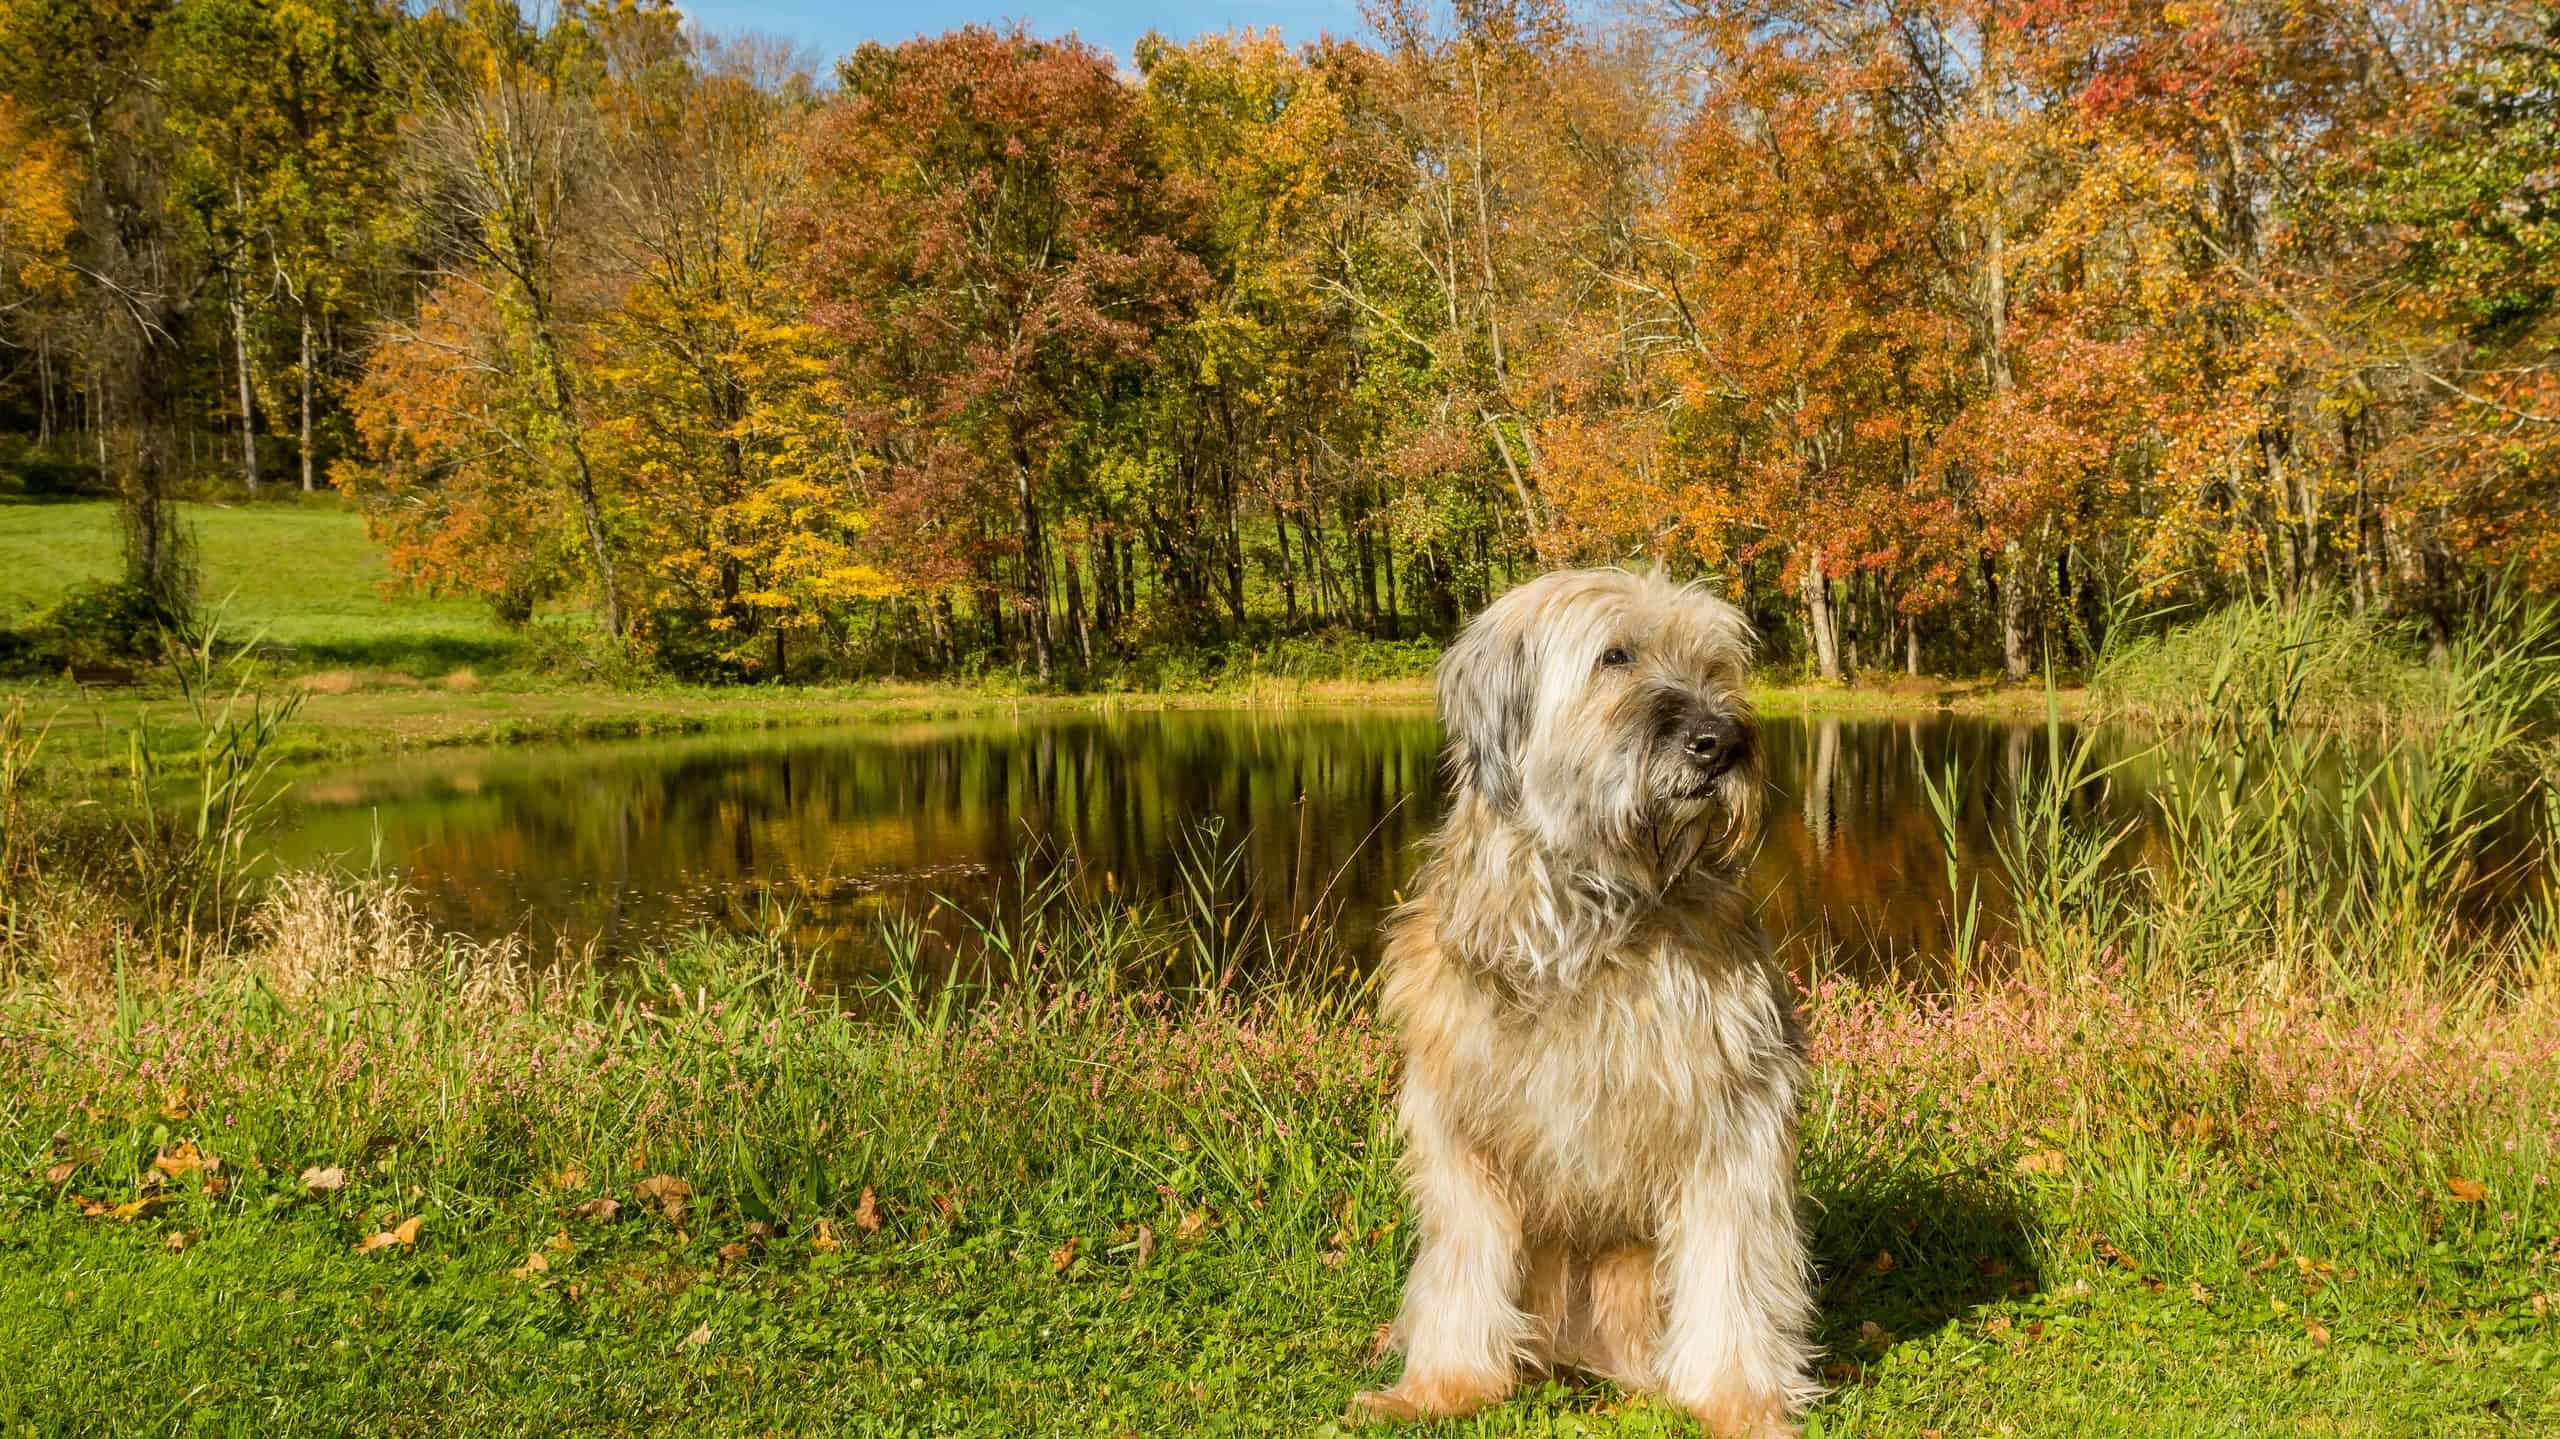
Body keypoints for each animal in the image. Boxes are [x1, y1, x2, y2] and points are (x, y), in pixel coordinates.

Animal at [1351, 565, 1812, 1423]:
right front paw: (1441, 1386)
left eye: (1714, 662)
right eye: (1615, 656)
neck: (1587, 917)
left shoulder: (1734, 1114)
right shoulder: (1462, 1129)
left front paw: (1738, 1400)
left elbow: (1730, 1266)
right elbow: (1462, 1262)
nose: (1722, 742)